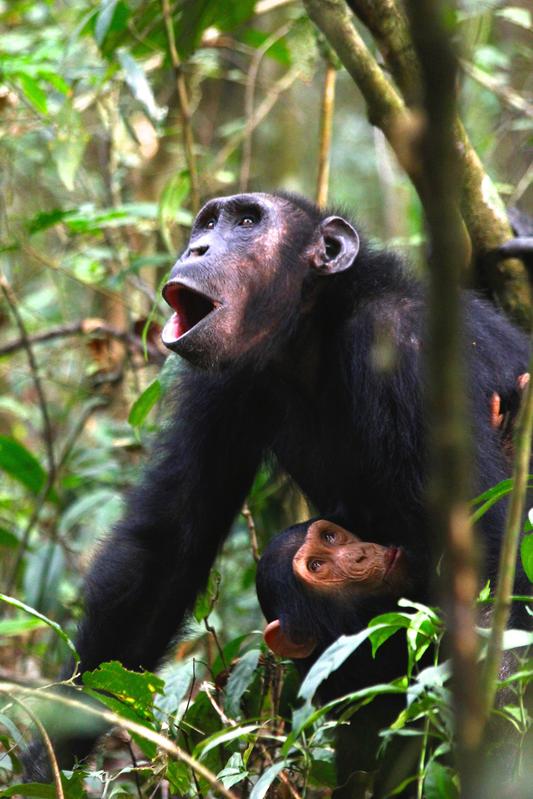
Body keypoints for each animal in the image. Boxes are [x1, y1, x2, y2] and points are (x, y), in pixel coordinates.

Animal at [23, 191, 528, 780]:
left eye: (246, 222)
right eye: (207, 223)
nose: (196, 247)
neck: (310, 334)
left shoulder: (404, 347)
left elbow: (486, 557)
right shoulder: (222, 383)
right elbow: (169, 542)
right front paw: (48, 759)